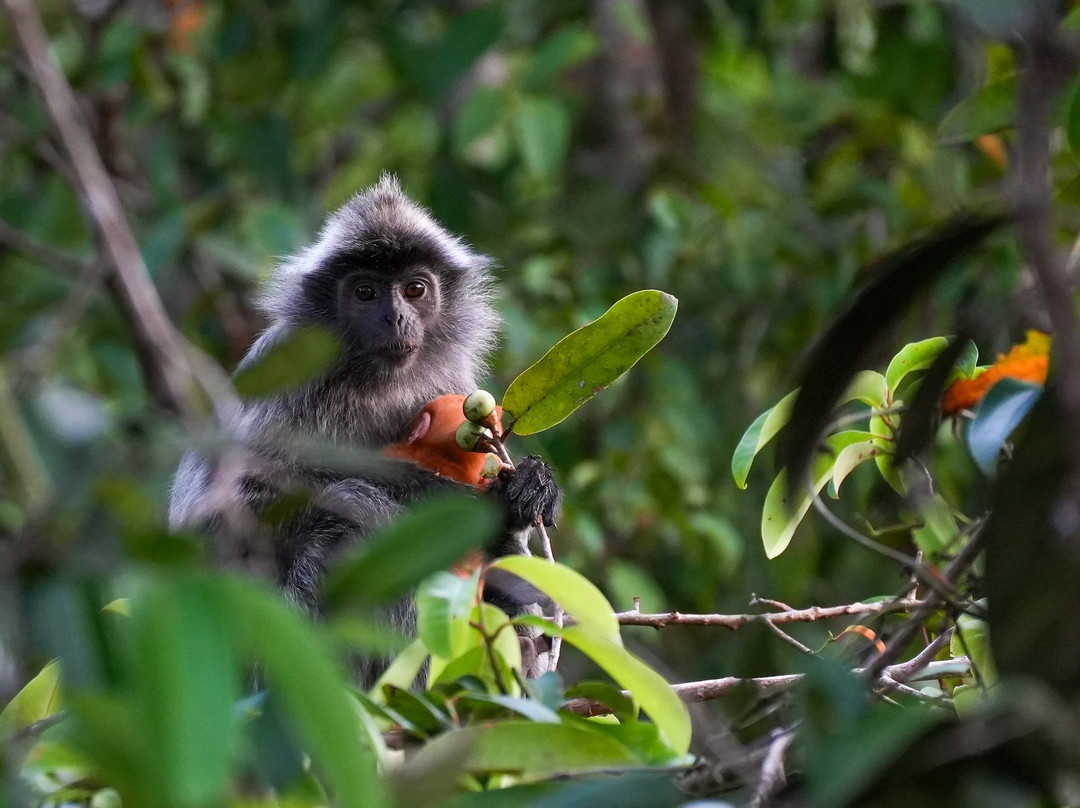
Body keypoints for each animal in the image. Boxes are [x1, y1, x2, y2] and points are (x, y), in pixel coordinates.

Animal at [169, 174, 561, 683]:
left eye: (415, 289)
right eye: (365, 293)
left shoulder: (451, 381)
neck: (378, 382)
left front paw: (534, 485)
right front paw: (435, 492)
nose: (396, 317)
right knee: (352, 514)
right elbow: (232, 513)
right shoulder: (287, 374)